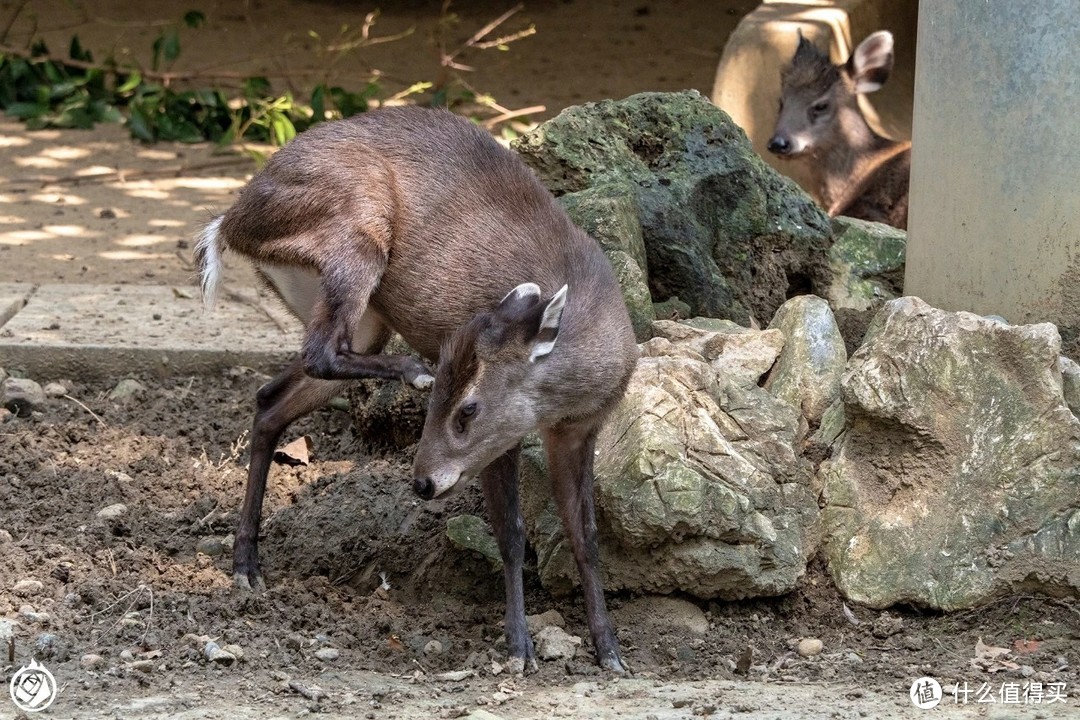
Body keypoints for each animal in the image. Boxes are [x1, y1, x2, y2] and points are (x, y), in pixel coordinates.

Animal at [193, 106, 635, 677]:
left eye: (468, 409)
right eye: (454, 405)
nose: (423, 483)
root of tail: (230, 222)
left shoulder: (577, 431)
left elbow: (586, 537)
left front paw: (611, 652)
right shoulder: (505, 442)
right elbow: (512, 535)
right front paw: (519, 649)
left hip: (360, 316)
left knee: (272, 398)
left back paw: (247, 566)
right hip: (357, 230)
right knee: (319, 352)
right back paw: (410, 369)